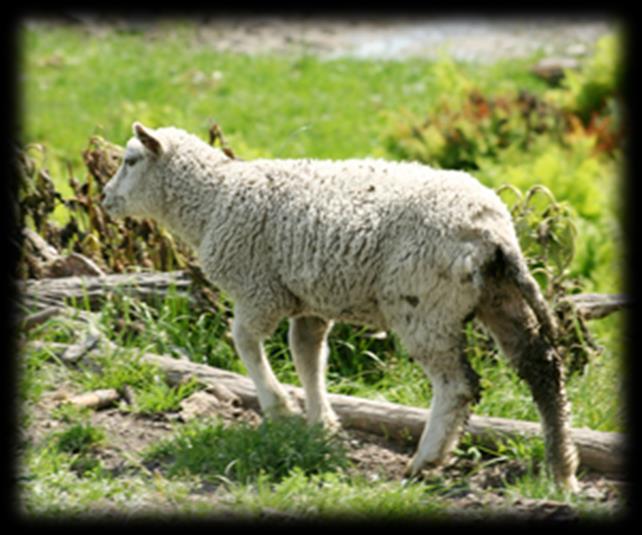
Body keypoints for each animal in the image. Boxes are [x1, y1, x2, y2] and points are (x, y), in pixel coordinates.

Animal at [101, 123, 580, 492]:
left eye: (130, 161)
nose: (105, 199)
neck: (212, 200)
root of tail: (491, 229)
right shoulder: (308, 300)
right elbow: (308, 355)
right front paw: (322, 423)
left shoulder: (260, 291)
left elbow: (245, 342)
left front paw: (280, 408)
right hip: (496, 297)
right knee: (543, 369)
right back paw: (562, 469)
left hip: (424, 303)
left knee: (458, 386)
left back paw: (426, 460)